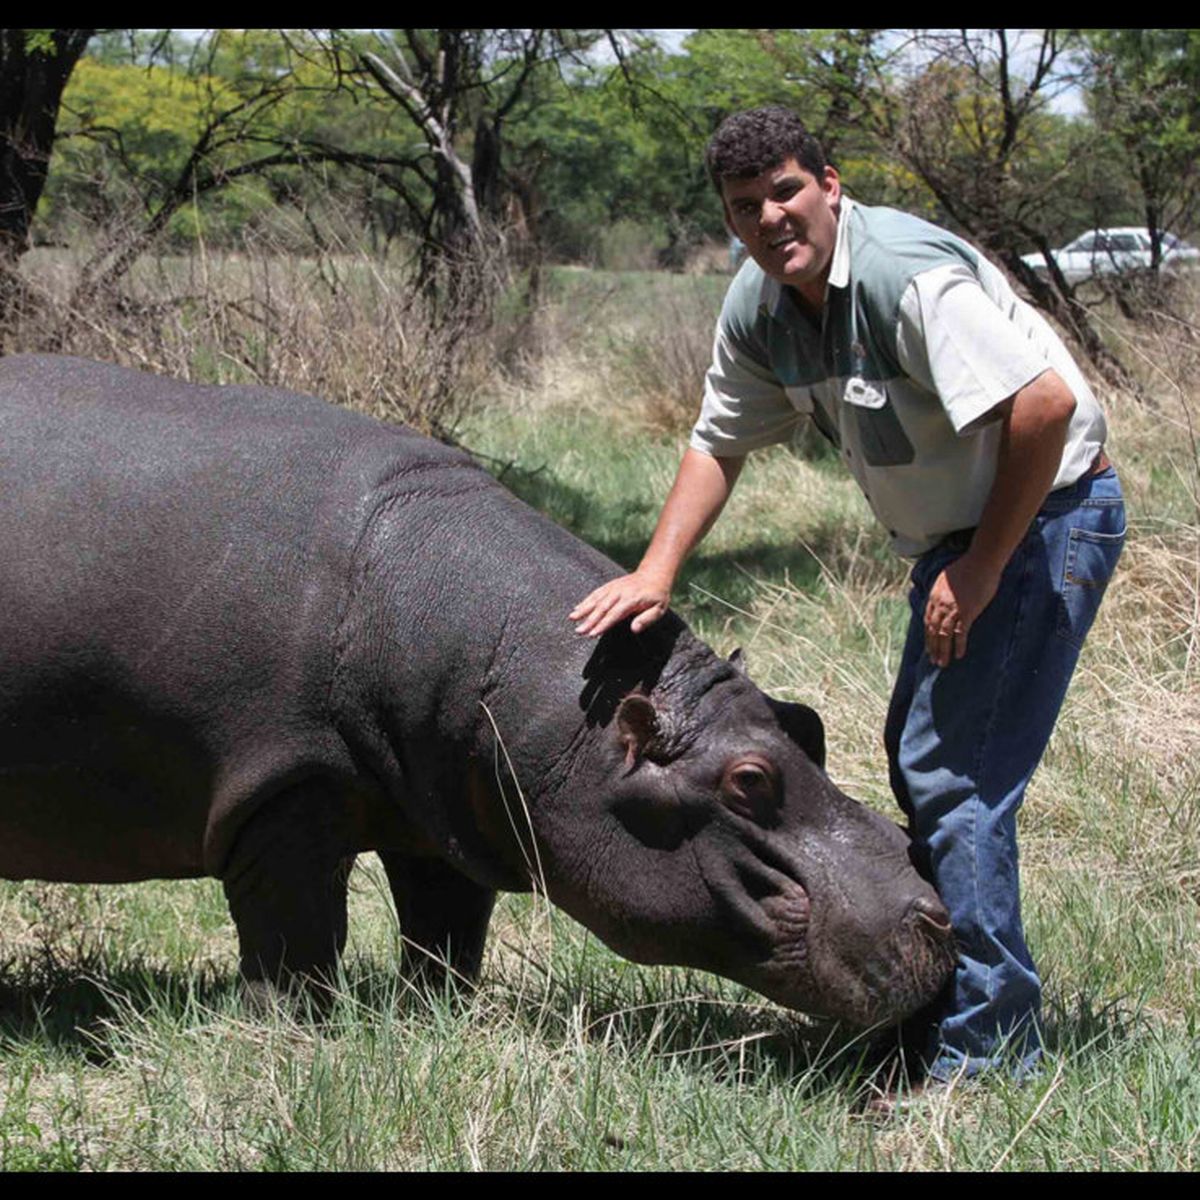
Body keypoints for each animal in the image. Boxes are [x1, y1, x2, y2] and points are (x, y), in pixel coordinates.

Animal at [0, 352, 955, 1022]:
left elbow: (447, 930)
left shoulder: (441, 801)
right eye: (749, 781)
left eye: (810, 725)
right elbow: (294, 935)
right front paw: (291, 1031)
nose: (937, 916)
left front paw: (438, 1019)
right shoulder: (283, 787)